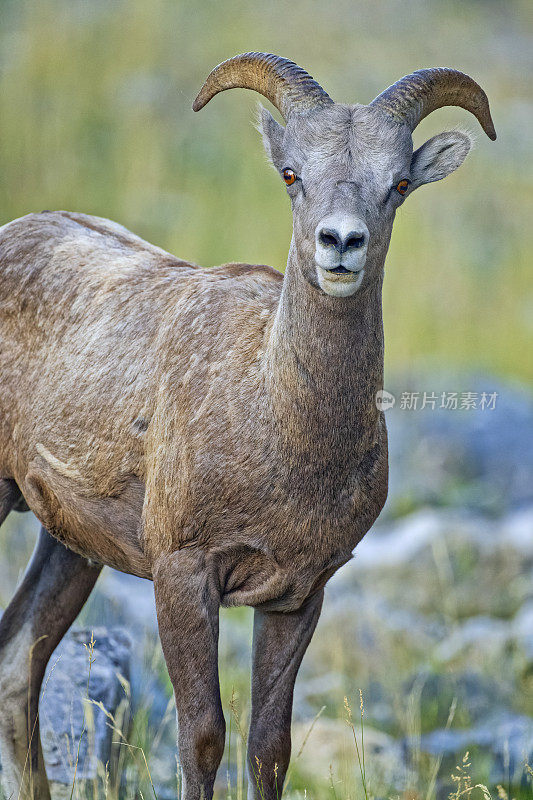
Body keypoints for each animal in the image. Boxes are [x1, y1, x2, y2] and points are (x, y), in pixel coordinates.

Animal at [0, 53, 494, 796]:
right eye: (292, 174)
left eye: (399, 184)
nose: (339, 243)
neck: (278, 427)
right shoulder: (184, 577)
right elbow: (203, 738)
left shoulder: (297, 596)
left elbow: (269, 746)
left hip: (70, 549)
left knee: (17, 668)